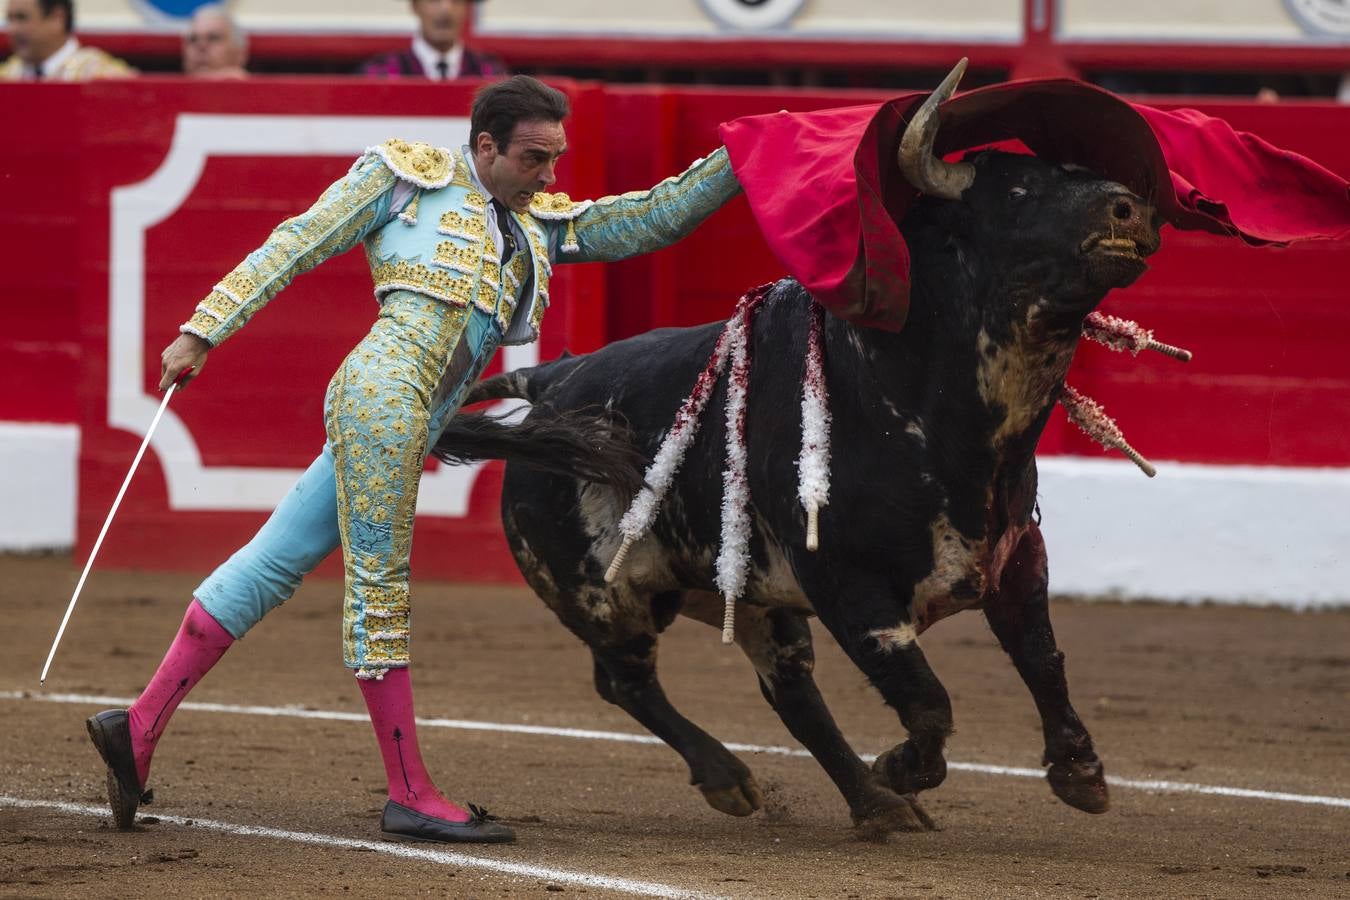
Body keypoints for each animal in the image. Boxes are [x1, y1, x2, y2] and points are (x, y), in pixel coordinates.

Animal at [434, 70, 1161, 836]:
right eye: (1018, 190)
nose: (1131, 209)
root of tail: (552, 380)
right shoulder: (850, 586)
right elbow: (927, 698)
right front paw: (903, 767)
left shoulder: (1014, 553)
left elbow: (1043, 660)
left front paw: (1080, 772)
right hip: (598, 594)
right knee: (626, 679)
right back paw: (736, 778)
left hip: (748, 595)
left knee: (788, 691)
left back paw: (873, 804)